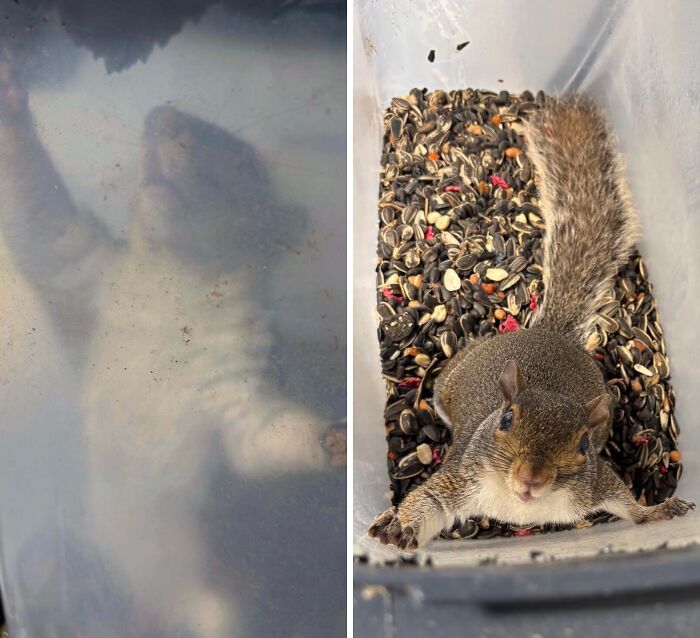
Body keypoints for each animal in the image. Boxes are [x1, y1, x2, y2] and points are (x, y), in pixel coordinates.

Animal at [369, 95, 695, 550]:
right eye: (506, 420)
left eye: (582, 444)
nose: (531, 478)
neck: (521, 505)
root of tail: (547, 333)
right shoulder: (459, 477)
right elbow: (426, 502)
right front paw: (399, 527)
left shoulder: (595, 484)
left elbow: (628, 504)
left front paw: (658, 511)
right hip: (446, 384)